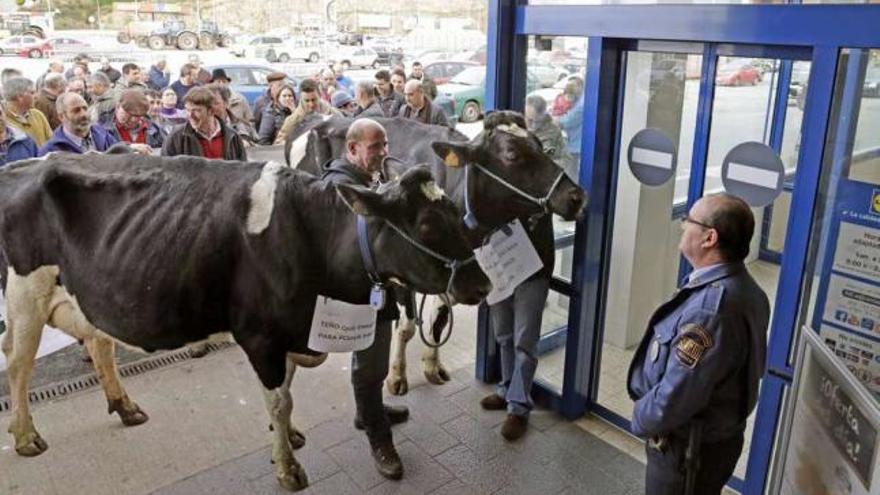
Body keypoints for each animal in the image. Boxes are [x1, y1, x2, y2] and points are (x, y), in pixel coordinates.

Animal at [0, 154, 488, 492]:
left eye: (455, 213)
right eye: (426, 226)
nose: (482, 284)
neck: (312, 235)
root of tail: (22, 163)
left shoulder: (290, 332)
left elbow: (287, 389)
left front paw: (288, 438)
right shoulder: (261, 335)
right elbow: (279, 399)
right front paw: (288, 468)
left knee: (99, 342)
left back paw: (125, 406)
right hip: (24, 295)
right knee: (19, 364)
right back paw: (26, 436)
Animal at [286, 111, 588, 396]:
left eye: (541, 146)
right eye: (512, 154)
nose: (576, 196)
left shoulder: (455, 269)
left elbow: (438, 321)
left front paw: (432, 366)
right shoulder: (401, 268)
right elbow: (407, 326)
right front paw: (397, 376)